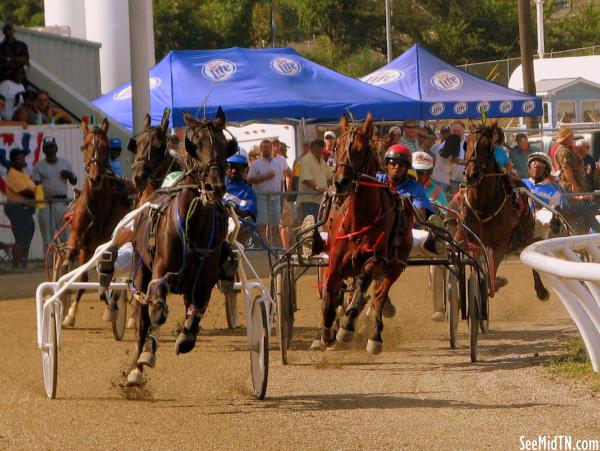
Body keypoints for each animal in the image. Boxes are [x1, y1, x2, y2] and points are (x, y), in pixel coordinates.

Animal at [59, 118, 132, 326]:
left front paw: (110, 306)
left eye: (105, 146)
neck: (97, 206)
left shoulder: (110, 244)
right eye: (84, 146)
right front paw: (69, 312)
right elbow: (77, 273)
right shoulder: (79, 240)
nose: (95, 178)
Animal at [126, 107, 237, 386]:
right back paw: (136, 367)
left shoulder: (204, 281)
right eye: (195, 144)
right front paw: (147, 353)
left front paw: (185, 337)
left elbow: (195, 315)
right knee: (142, 319)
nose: (214, 187)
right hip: (141, 267)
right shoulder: (159, 273)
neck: (192, 226)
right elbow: (155, 309)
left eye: (224, 145)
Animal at [318, 115, 412, 354]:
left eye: (360, 149)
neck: (359, 219)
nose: (340, 182)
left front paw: (346, 328)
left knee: (379, 297)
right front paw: (327, 332)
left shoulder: (376, 260)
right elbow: (330, 293)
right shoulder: (335, 261)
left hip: (395, 266)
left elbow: (362, 286)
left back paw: (374, 337)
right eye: (336, 147)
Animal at [460, 122, 548, 302]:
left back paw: (541, 290)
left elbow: (490, 273)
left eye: (488, 146)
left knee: (529, 249)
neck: (483, 206)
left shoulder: (500, 244)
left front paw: (496, 282)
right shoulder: (471, 241)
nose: (472, 175)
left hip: (526, 231)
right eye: (466, 143)